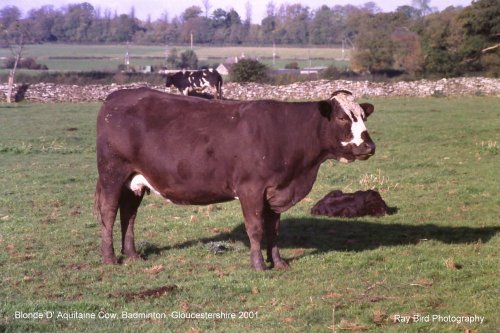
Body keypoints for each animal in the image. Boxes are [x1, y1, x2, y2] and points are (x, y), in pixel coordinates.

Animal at [94, 87, 376, 270]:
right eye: (342, 117)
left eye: (363, 116)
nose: (369, 146)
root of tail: (116, 96)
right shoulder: (251, 188)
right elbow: (255, 228)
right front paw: (259, 265)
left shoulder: (275, 191)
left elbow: (273, 229)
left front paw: (278, 262)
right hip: (112, 173)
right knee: (109, 212)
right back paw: (109, 259)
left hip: (134, 181)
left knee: (129, 214)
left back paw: (132, 255)